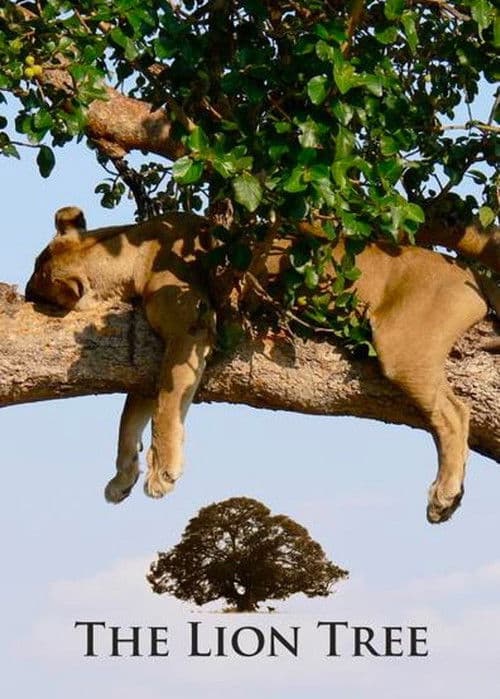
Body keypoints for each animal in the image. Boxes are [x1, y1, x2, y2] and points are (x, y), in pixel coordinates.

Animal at [25, 206, 499, 524]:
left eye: (36, 277)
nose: (25, 293)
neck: (130, 249)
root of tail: (470, 276)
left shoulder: (192, 330)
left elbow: (165, 406)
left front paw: (162, 473)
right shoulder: (151, 356)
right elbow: (131, 415)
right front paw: (122, 477)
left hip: (403, 345)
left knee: (455, 414)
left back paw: (443, 496)